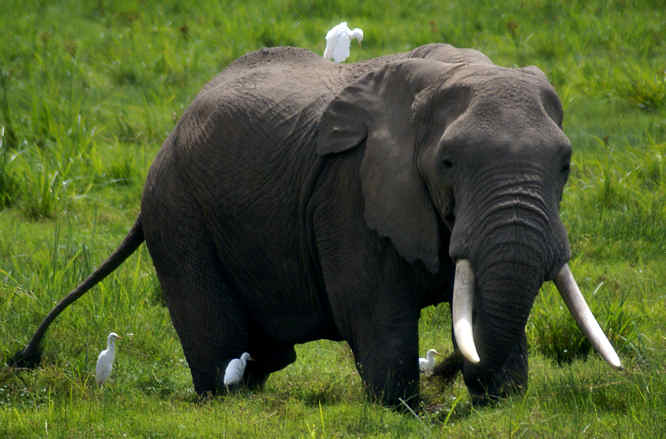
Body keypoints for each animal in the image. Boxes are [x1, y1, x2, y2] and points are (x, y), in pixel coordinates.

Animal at [10, 43, 620, 408]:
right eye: (448, 163)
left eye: (565, 164)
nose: (446, 373)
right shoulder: (348, 189)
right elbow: (370, 309)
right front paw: (404, 412)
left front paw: (499, 405)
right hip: (177, 210)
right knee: (216, 337)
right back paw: (224, 401)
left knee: (267, 354)